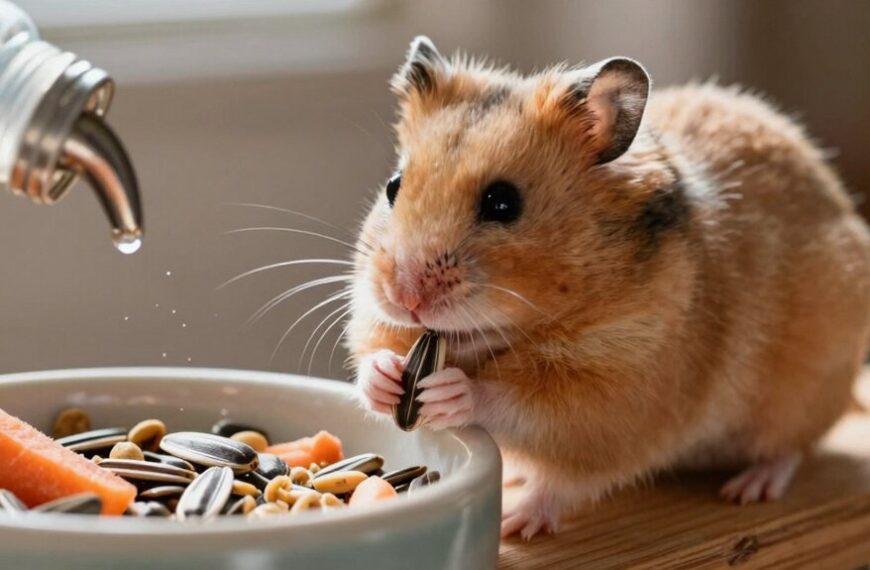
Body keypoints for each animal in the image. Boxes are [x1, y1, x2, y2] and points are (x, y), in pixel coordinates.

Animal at [347, 36, 870, 539]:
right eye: (394, 186)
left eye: (502, 202)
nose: (406, 299)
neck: (498, 335)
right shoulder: (377, 320)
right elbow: (373, 351)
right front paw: (386, 377)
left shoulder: (612, 399)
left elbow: (521, 413)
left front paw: (455, 404)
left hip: (801, 392)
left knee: (789, 449)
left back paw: (748, 488)